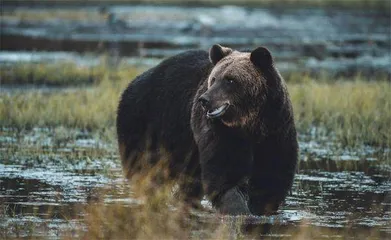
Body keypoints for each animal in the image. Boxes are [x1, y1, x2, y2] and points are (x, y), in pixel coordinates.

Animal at [118, 44, 298, 216]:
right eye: (214, 78)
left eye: (230, 80)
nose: (205, 100)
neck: (251, 122)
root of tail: (132, 83)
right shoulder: (221, 131)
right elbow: (225, 169)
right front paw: (239, 210)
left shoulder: (276, 129)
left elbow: (271, 173)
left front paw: (260, 209)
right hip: (147, 123)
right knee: (146, 168)